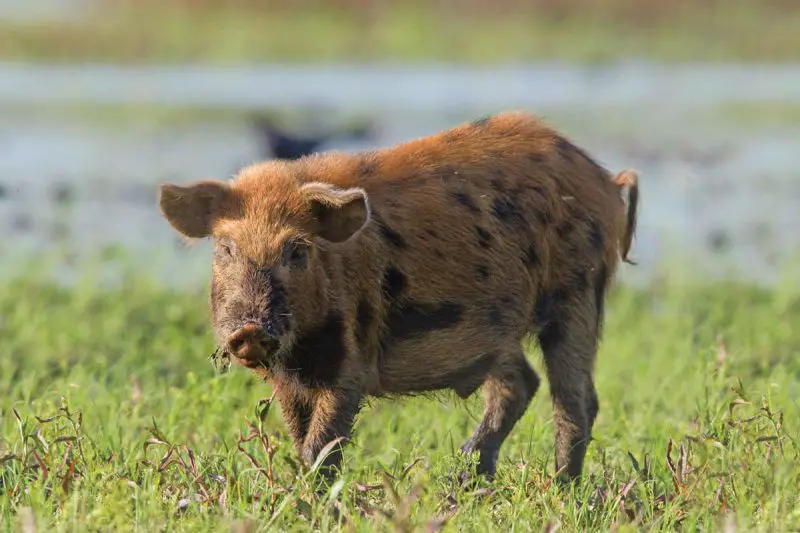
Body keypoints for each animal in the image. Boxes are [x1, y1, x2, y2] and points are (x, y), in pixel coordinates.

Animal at [157, 111, 639, 484]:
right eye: (226, 248)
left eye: (297, 250)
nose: (251, 329)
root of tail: (604, 178)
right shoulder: (290, 377)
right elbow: (299, 434)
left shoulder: (350, 363)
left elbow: (323, 442)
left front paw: (311, 498)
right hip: (498, 329)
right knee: (520, 384)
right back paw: (466, 478)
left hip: (579, 291)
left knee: (575, 399)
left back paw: (561, 488)